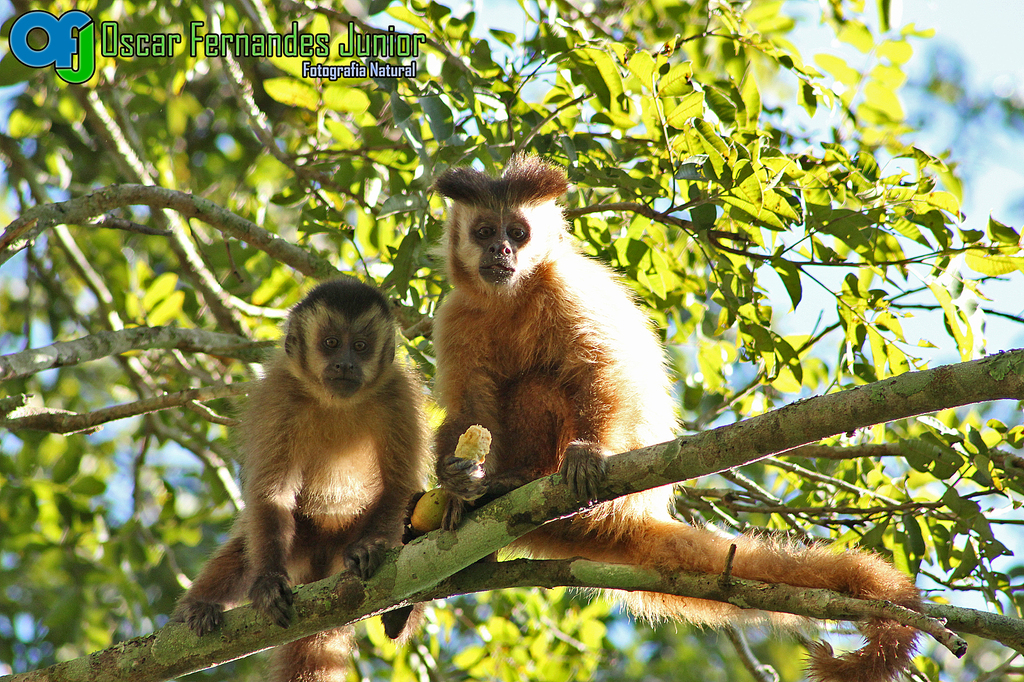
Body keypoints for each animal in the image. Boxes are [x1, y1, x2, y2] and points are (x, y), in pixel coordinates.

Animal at [175, 278, 428, 679]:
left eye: (360, 346)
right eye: (331, 343)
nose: (345, 363)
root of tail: (324, 560)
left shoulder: (398, 395)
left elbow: (400, 486)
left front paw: (367, 548)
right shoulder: (279, 395)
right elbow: (270, 495)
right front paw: (267, 584)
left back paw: (399, 616)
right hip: (302, 539)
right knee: (246, 547)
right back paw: (198, 606)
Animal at [428, 153, 925, 679]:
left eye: (519, 233)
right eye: (485, 231)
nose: (501, 248)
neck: (512, 300)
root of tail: (632, 514)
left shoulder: (565, 289)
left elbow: (606, 371)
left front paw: (588, 452)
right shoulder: (456, 315)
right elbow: (469, 409)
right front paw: (454, 478)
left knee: (542, 385)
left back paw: (522, 478)